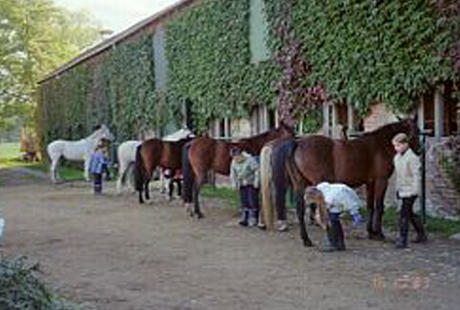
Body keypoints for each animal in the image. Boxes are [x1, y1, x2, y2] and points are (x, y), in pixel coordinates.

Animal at [260, 118, 418, 247]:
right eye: (416, 131)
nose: (419, 150)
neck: (379, 145)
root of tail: (297, 143)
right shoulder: (381, 181)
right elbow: (379, 207)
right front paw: (379, 234)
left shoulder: (370, 183)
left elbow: (371, 207)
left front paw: (371, 232)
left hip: (300, 185)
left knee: (300, 210)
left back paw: (306, 240)